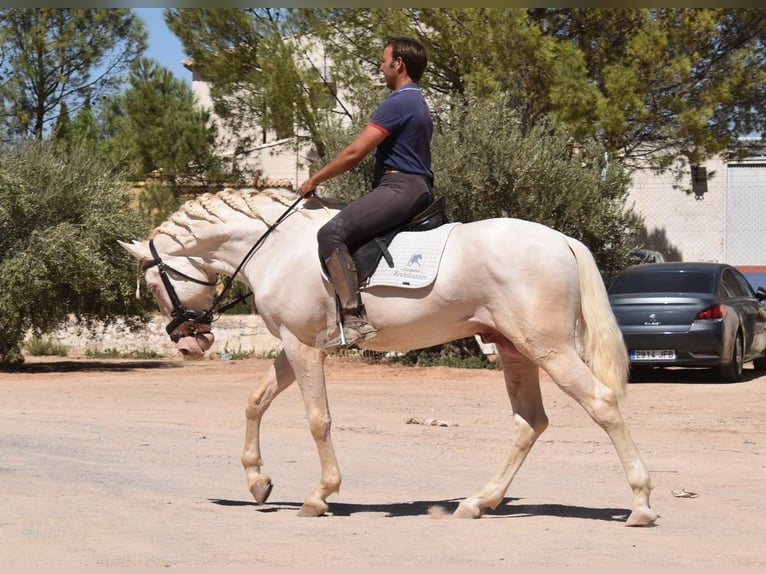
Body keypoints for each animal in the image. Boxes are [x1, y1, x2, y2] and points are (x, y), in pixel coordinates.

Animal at [120, 188, 660, 528]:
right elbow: (256, 402)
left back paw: (640, 504)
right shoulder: (295, 345)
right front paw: (258, 482)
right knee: (530, 423)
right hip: (515, 350)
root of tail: (560, 239)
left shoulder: (302, 346)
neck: (276, 247)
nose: (187, 343)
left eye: (154, 284)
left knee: (602, 405)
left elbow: (317, 419)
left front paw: (320, 495)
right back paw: (478, 502)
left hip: (549, 348)